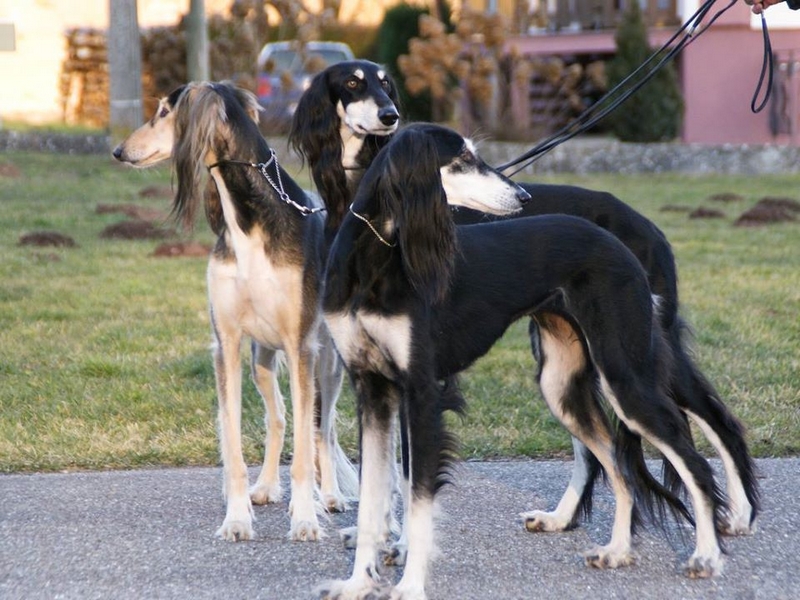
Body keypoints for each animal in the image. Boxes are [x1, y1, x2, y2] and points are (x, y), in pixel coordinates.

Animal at [112, 81, 358, 542]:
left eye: (163, 111)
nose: (119, 151)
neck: (253, 221)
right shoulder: (226, 343)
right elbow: (234, 439)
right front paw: (238, 517)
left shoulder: (301, 345)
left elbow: (308, 445)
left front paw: (305, 519)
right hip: (262, 357)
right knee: (279, 418)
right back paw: (268, 486)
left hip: (329, 362)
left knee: (324, 428)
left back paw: (330, 496)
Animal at [316, 124, 726, 599]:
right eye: (462, 159)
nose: (523, 196)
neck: (375, 255)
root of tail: (622, 239)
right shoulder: (372, 388)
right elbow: (372, 499)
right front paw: (357, 583)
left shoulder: (421, 390)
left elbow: (417, 499)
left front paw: (410, 586)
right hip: (560, 382)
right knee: (619, 463)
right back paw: (618, 550)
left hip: (625, 374)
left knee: (692, 460)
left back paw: (707, 555)